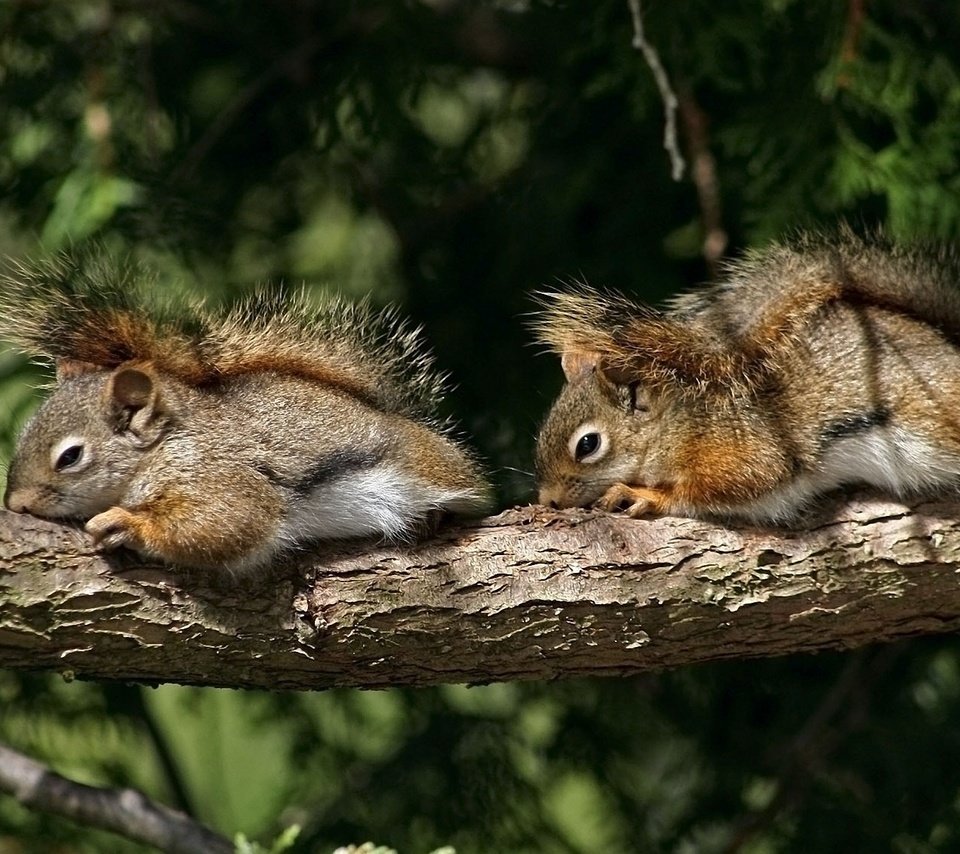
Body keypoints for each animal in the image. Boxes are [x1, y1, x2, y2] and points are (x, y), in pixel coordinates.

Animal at [0, 251, 492, 572]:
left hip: (431, 468)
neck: (162, 446)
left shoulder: (219, 473)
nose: (16, 505)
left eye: (70, 457)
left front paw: (127, 524)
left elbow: (232, 519)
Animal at [532, 227, 960, 520]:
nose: (547, 501)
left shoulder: (744, 449)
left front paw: (643, 495)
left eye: (588, 445)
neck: (680, 422)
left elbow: (729, 486)